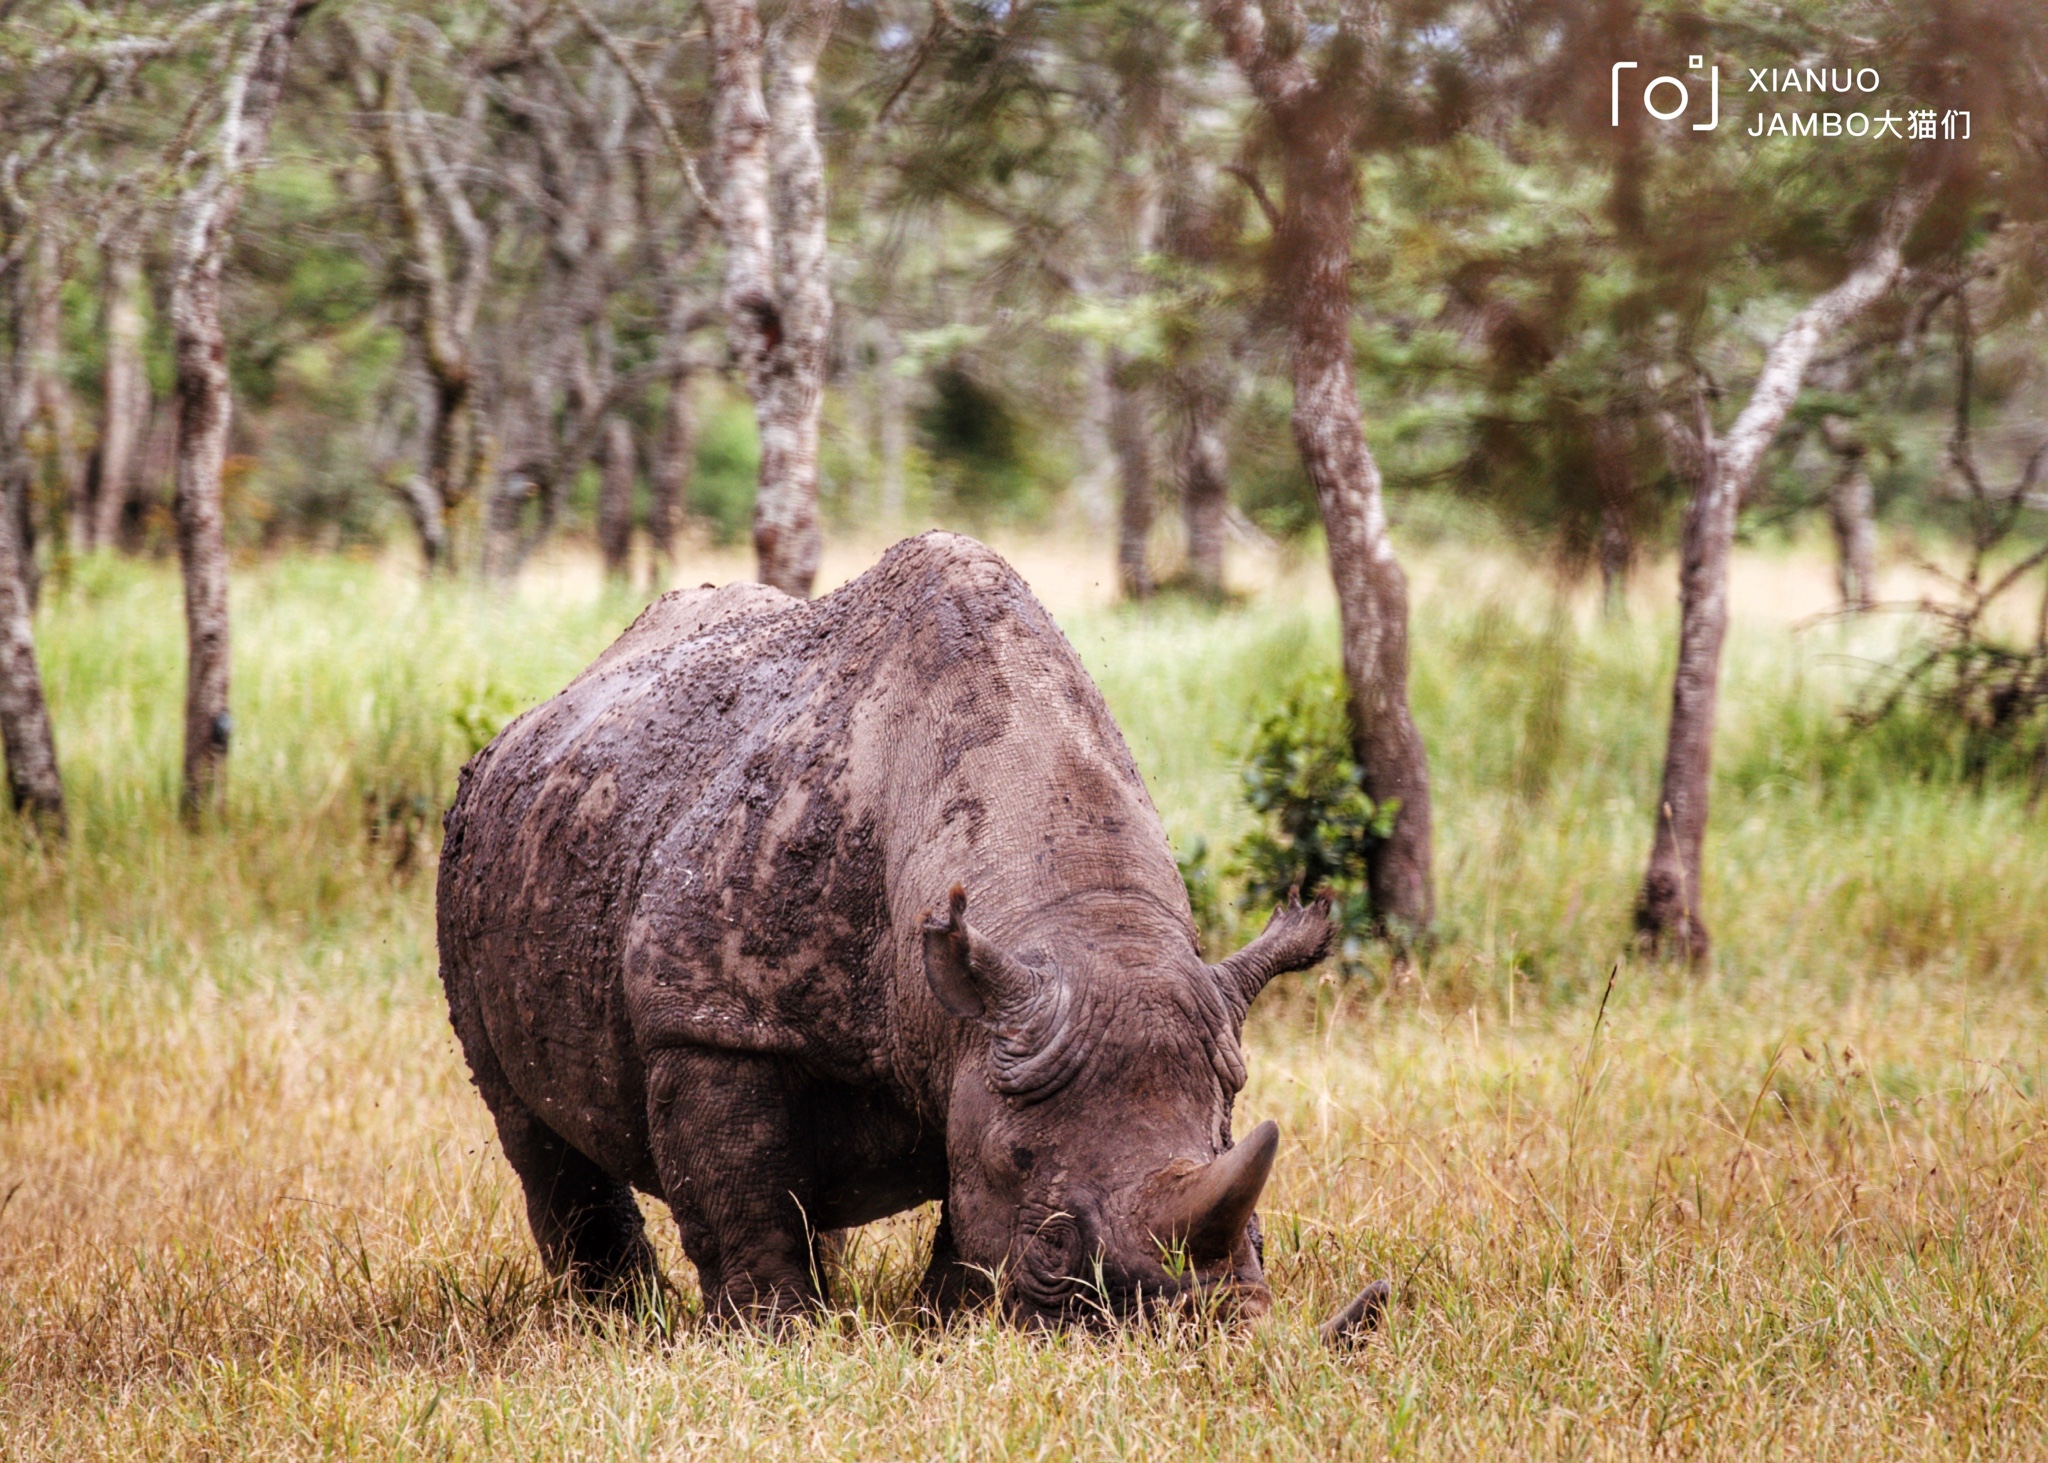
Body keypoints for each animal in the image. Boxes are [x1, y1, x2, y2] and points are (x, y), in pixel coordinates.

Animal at [440, 528, 1343, 1327]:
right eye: (1054, 1237)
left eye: (1229, 1137)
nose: (1197, 1328)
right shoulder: (708, 1019)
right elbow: (741, 1196)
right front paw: (774, 1335)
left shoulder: (978, 1034)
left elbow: (963, 1212)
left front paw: (946, 1325)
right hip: (476, 849)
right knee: (530, 1126)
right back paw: (617, 1321)